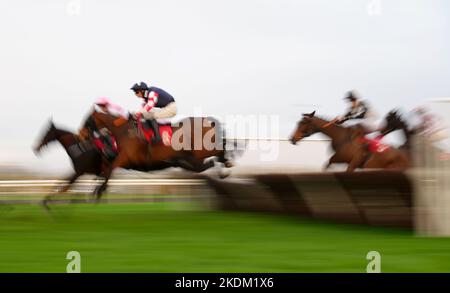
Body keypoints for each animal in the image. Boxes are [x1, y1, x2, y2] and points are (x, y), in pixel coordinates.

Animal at [82, 110, 234, 198]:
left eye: (86, 122)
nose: (81, 135)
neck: (123, 132)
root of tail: (209, 121)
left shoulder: (126, 158)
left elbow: (111, 169)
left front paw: (100, 189)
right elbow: (106, 170)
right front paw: (97, 188)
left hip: (203, 150)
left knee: (218, 151)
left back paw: (226, 164)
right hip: (197, 154)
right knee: (202, 163)